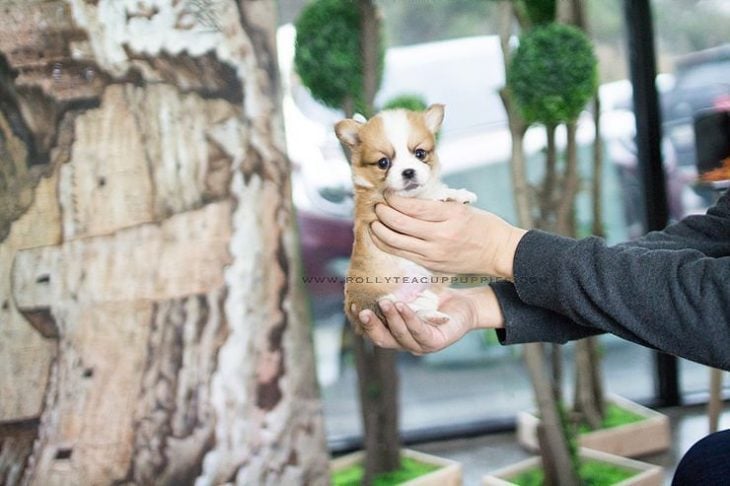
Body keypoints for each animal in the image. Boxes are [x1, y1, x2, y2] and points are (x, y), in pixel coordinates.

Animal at [336, 104, 478, 334]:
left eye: (420, 153)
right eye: (383, 162)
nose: (408, 172)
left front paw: (457, 194)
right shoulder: (379, 206)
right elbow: (429, 196)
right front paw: (441, 195)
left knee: (417, 309)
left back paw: (431, 315)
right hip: (370, 297)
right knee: (390, 306)